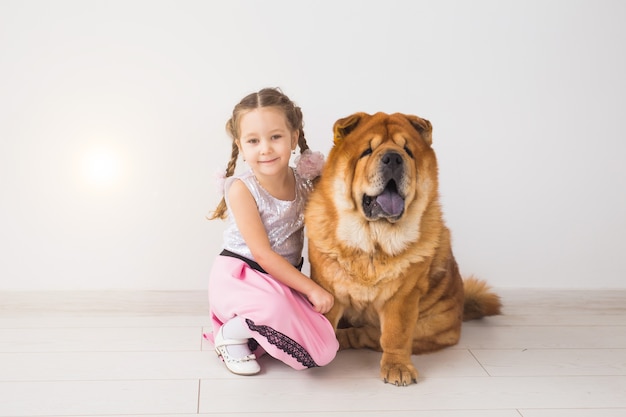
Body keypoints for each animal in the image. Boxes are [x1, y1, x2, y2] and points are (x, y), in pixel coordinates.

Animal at [304, 112, 500, 386]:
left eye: (407, 151)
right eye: (367, 151)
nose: (393, 158)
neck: (373, 242)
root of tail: (461, 310)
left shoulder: (403, 295)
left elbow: (395, 334)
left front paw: (398, 368)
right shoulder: (327, 286)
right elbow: (324, 321)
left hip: (430, 325)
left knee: (371, 336)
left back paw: (346, 339)